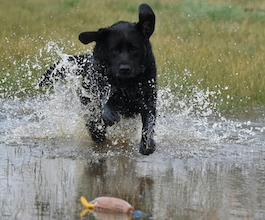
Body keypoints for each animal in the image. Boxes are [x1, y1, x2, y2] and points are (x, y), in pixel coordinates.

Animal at [39, 3, 157, 155]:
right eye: (115, 50)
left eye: (134, 49)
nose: (124, 68)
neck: (125, 83)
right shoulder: (99, 87)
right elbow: (103, 100)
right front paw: (108, 114)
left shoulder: (148, 97)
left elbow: (149, 121)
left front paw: (147, 143)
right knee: (92, 122)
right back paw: (97, 133)